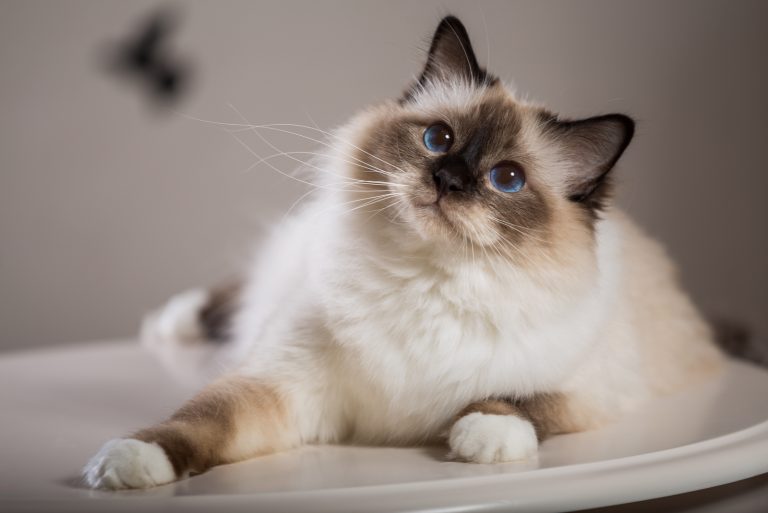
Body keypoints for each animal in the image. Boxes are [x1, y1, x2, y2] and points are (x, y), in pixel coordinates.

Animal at [85, 15, 728, 488]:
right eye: (437, 139)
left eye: (507, 179)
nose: (448, 179)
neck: (428, 279)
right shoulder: (282, 384)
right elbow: (196, 421)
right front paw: (129, 462)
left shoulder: (589, 391)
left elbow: (520, 400)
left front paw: (481, 439)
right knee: (229, 296)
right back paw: (169, 324)